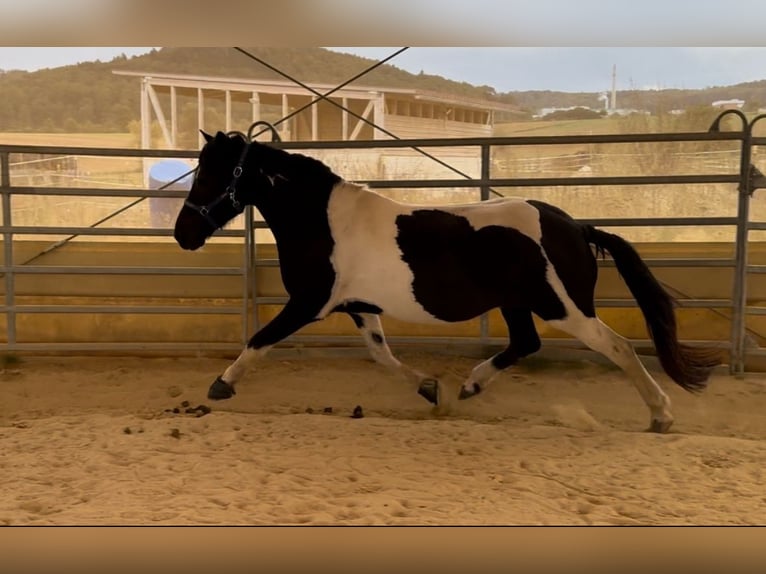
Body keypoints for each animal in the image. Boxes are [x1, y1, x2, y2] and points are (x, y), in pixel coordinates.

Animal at [176, 132, 728, 432]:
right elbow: (380, 354)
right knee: (524, 343)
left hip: (563, 307)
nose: (183, 234)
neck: (323, 221)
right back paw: (470, 385)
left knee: (618, 347)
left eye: (210, 173)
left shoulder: (310, 302)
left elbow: (260, 338)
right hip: (516, 303)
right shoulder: (357, 306)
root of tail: (575, 227)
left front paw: (221, 385)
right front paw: (430, 389)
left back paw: (661, 415)